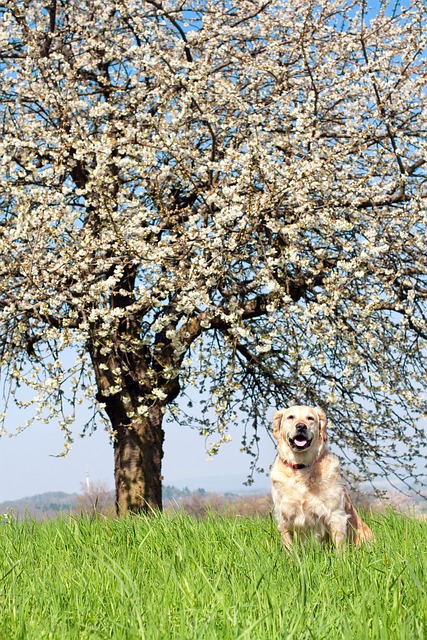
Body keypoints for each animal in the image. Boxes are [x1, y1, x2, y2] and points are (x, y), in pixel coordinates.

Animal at [270, 404, 374, 552]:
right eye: (290, 417)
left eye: (310, 418)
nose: (301, 426)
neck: (301, 467)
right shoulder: (284, 517)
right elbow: (289, 547)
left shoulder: (336, 515)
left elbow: (339, 547)